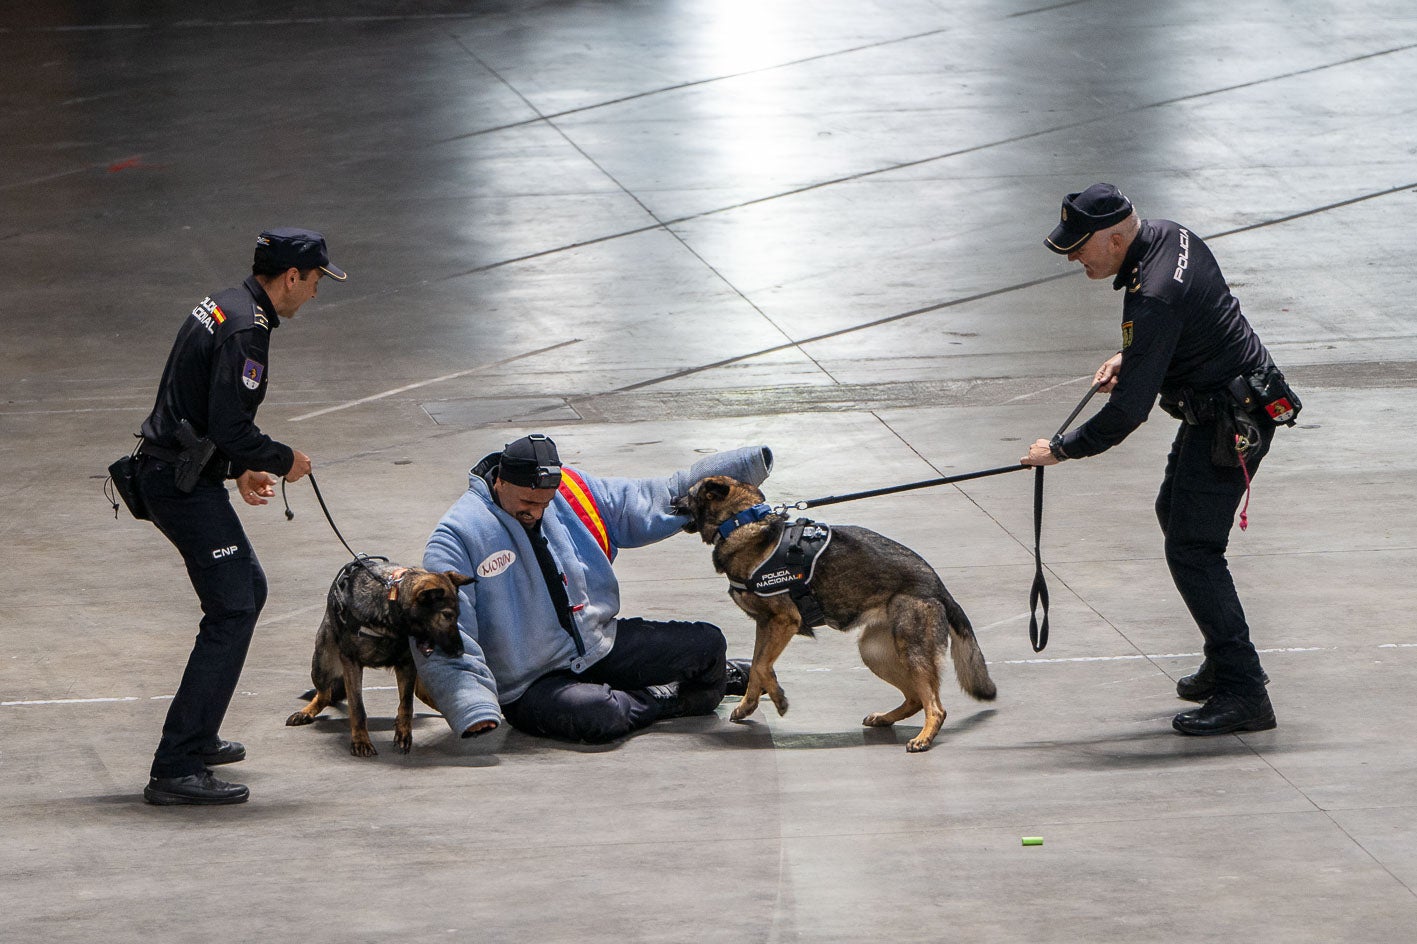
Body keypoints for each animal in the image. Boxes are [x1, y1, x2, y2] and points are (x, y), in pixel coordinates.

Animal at [284, 555, 473, 754]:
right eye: (447, 615)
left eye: (457, 616)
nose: (460, 651)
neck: (391, 601)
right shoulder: (351, 663)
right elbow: (357, 707)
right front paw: (361, 740)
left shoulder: (407, 664)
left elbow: (406, 703)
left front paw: (403, 731)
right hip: (323, 665)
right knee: (324, 695)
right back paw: (306, 712)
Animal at [674, 479, 997, 748]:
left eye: (688, 494)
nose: (671, 501)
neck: (740, 522)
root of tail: (939, 587)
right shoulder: (766, 625)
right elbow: (757, 666)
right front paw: (748, 704)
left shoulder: (784, 622)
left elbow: (763, 666)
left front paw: (778, 698)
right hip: (873, 651)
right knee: (915, 698)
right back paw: (886, 718)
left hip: (912, 651)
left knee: (935, 707)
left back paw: (924, 737)